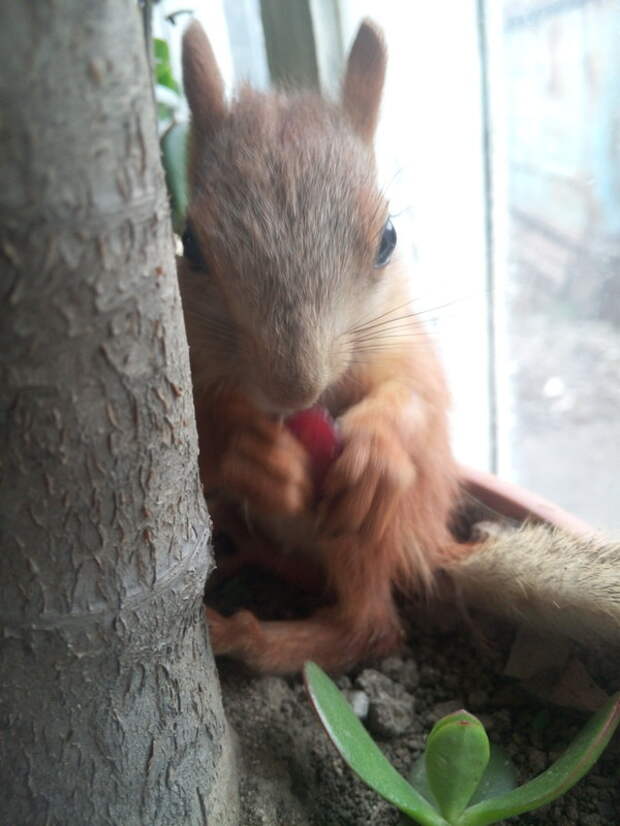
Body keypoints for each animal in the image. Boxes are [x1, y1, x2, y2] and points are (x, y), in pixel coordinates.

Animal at [174, 20, 620, 676]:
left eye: (387, 239)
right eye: (191, 245)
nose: (293, 387)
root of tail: (432, 545)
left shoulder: (407, 341)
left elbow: (420, 395)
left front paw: (379, 448)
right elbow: (205, 436)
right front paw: (253, 449)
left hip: (367, 533)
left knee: (369, 627)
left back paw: (251, 634)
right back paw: (251, 560)